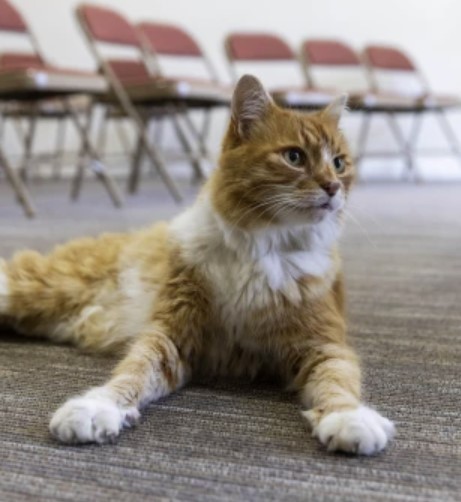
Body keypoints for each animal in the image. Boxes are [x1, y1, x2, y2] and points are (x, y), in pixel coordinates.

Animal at [0, 74, 394, 454]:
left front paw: (349, 418)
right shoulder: (172, 333)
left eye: (339, 163)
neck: (262, 249)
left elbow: (337, 381)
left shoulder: (323, 343)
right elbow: (133, 372)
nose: (332, 187)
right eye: (294, 157)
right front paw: (97, 408)